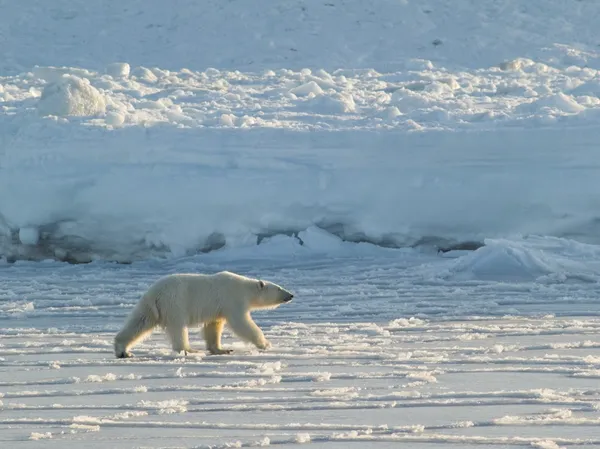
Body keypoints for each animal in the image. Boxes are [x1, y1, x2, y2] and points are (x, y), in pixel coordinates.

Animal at [113, 270, 294, 356]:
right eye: (279, 288)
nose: (291, 295)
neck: (245, 288)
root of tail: (155, 293)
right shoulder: (232, 300)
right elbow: (242, 323)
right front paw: (265, 343)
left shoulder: (218, 309)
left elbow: (214, 327)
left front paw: (221, 349)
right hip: (175, 302)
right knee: (178, 327)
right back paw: (190, 349)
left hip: (149, 306)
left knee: (139, 323)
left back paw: (123, 351)